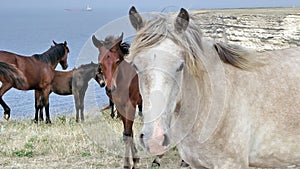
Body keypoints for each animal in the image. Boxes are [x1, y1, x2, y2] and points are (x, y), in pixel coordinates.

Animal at [92, 33, 143, 168]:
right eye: (100, 63)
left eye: (117, 61)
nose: (110, 89)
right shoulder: (120, 107)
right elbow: (128, 132)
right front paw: (135, 159)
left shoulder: (131, 105)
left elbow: (127, 133)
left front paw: (128, 164)